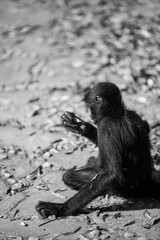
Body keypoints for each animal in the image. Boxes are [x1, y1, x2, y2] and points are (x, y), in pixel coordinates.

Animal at [35, 81, 159, 218]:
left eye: (90, 108)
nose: (91, 116)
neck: (118, 113)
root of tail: (145, 184)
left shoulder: (106, 125)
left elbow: (111, 174)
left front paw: (59, 208)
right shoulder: (135, 115)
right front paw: (82, 127)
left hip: (121, 187)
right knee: (69, 176)